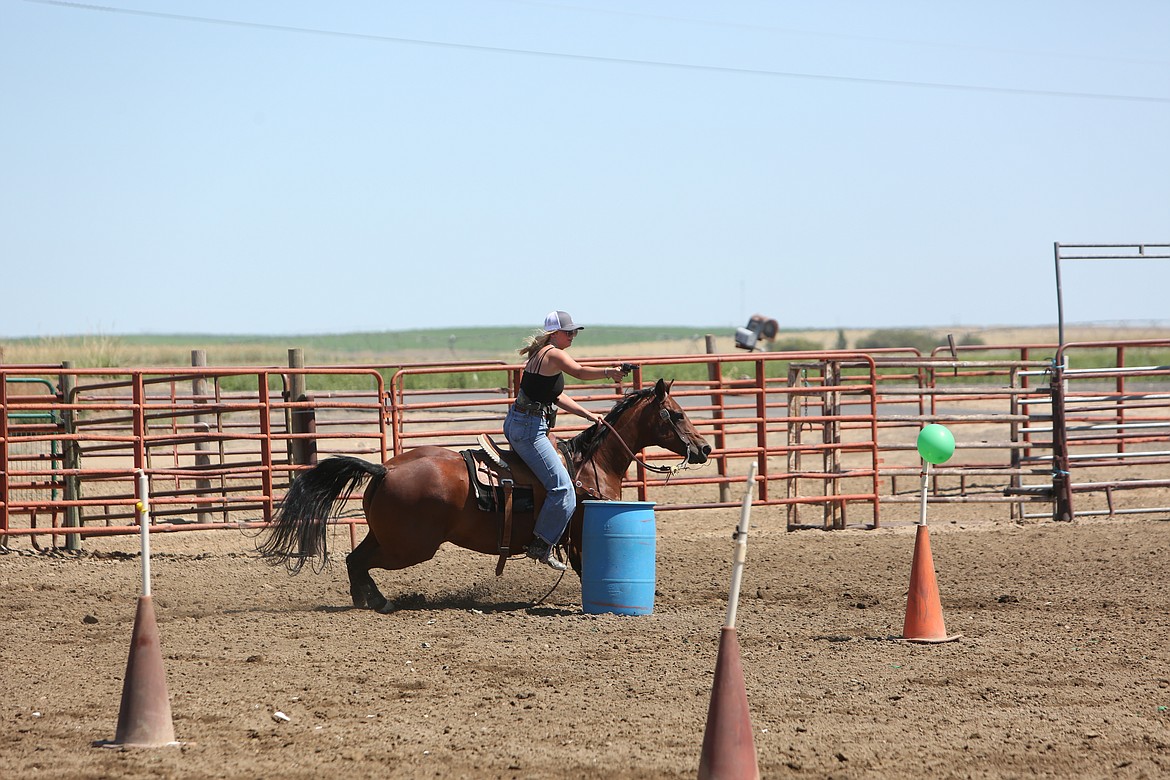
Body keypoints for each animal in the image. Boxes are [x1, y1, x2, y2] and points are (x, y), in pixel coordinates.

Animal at [259, 381, 706, 612]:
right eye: (678, 414)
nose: (703, 448)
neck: (593, 463)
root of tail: (385, 468)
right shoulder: (582, 531)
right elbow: (586, 569)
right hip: (411, 547)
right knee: (359, 561)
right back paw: (376, 600)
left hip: (389, 536)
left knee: (356, 560)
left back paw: (373, 600)